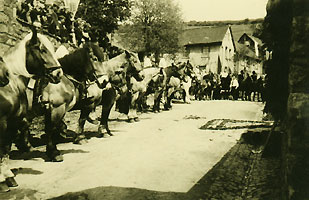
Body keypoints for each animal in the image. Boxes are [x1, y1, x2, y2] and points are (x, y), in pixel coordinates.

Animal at [0, 29, 62, 191]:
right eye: (43, 50)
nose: (58, 73)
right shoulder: (3, 123)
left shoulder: (12, 122)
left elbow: (5, 148)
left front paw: (8, 177)